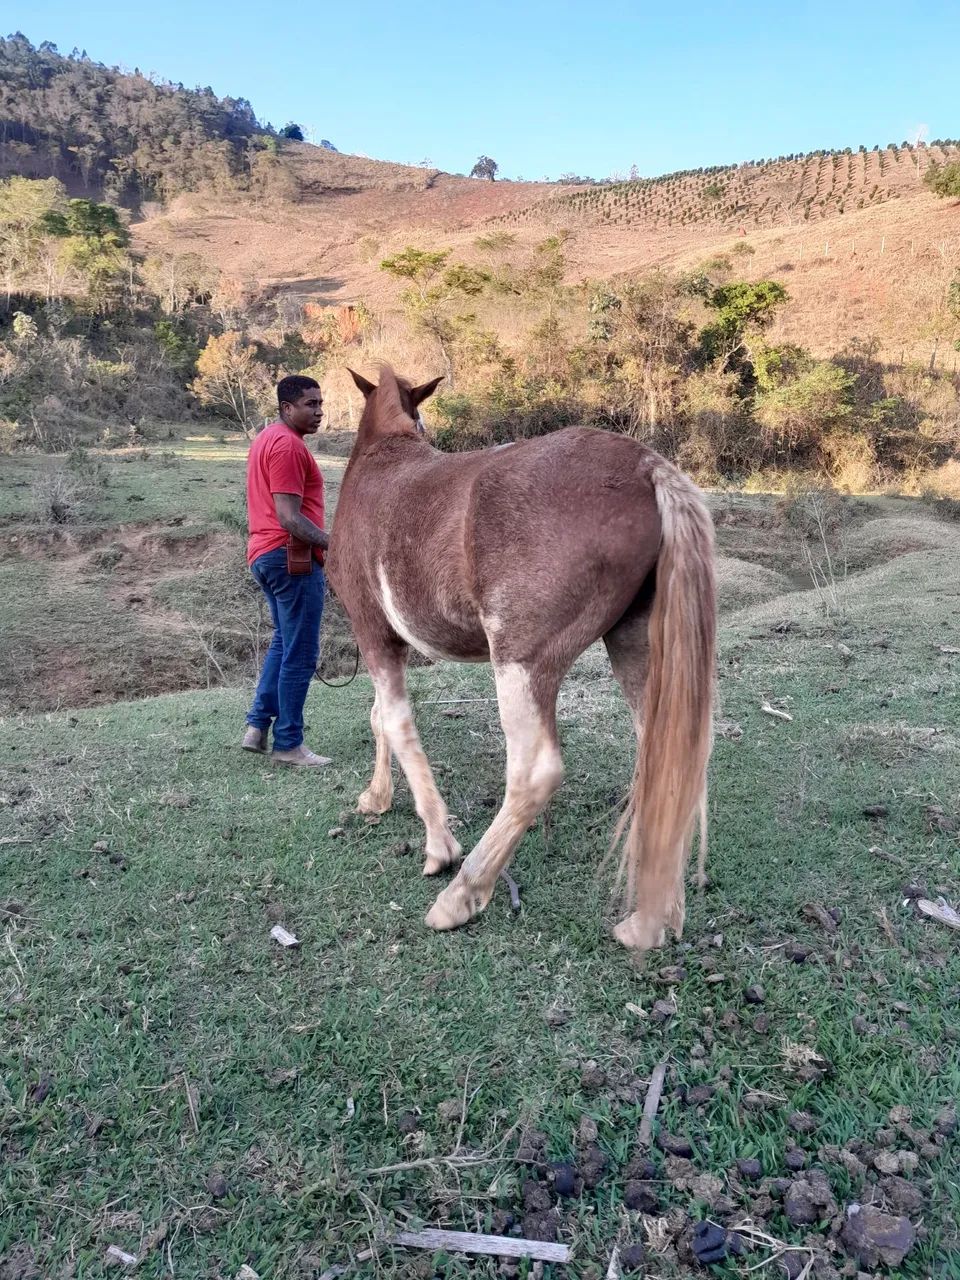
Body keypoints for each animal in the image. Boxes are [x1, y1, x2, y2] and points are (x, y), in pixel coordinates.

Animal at [325, 365, 716, 953]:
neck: (384, 456)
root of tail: (645, 466)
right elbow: (379, 719)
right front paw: (377, 796)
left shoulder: (374, 634)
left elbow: (394, 722)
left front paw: (439, 844)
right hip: (636, 649)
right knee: (666, 758)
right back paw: (652, 921)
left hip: (520, 663)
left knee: (534, 772)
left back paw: (463, 894)